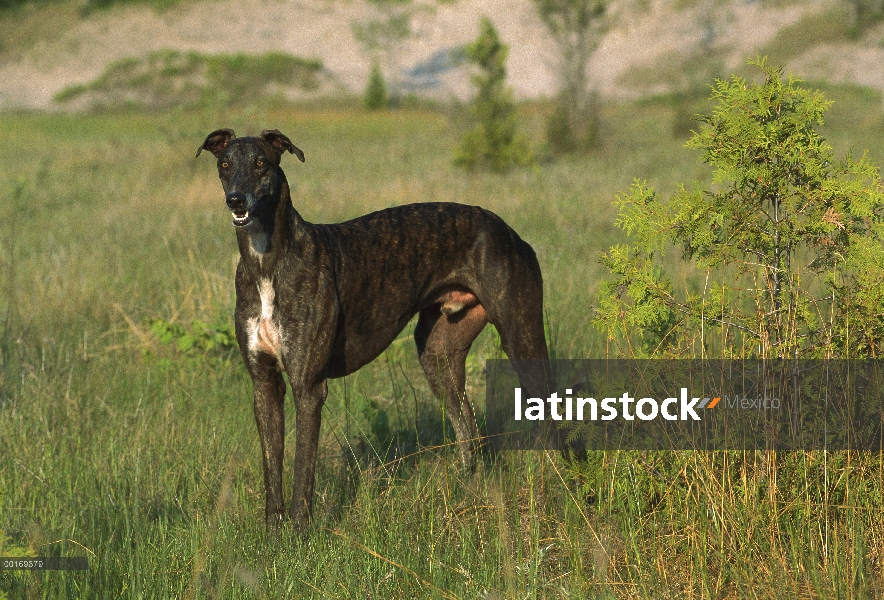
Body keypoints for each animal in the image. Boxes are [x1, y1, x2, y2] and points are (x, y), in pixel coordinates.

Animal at [197, 129, 548, 528]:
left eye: (261, 162)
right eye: (225, 164)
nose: (235, 200)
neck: (268, 261)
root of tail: (508, 229)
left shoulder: (309, 387)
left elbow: (303, 468)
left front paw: (300, 531)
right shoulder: (264, 383)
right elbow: (273, 467)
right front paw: (273, 532)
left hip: (522, 338)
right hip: (438, 356)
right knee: (468, 429)